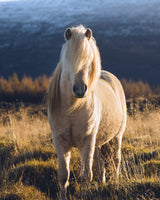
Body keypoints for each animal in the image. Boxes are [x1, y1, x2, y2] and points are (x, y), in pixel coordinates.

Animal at [47, 24, 126, 198]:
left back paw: (116, 182)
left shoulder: (87, 140)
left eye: (89, 61)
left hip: (117, 136)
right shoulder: (60, 141)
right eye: (68, 59)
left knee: (116, 160)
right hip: (97, 141)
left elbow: (86, 175)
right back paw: (103, 183)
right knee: (100, 163)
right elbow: (63, 175)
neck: (72, 109)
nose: (80, 89)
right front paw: (63, 196)